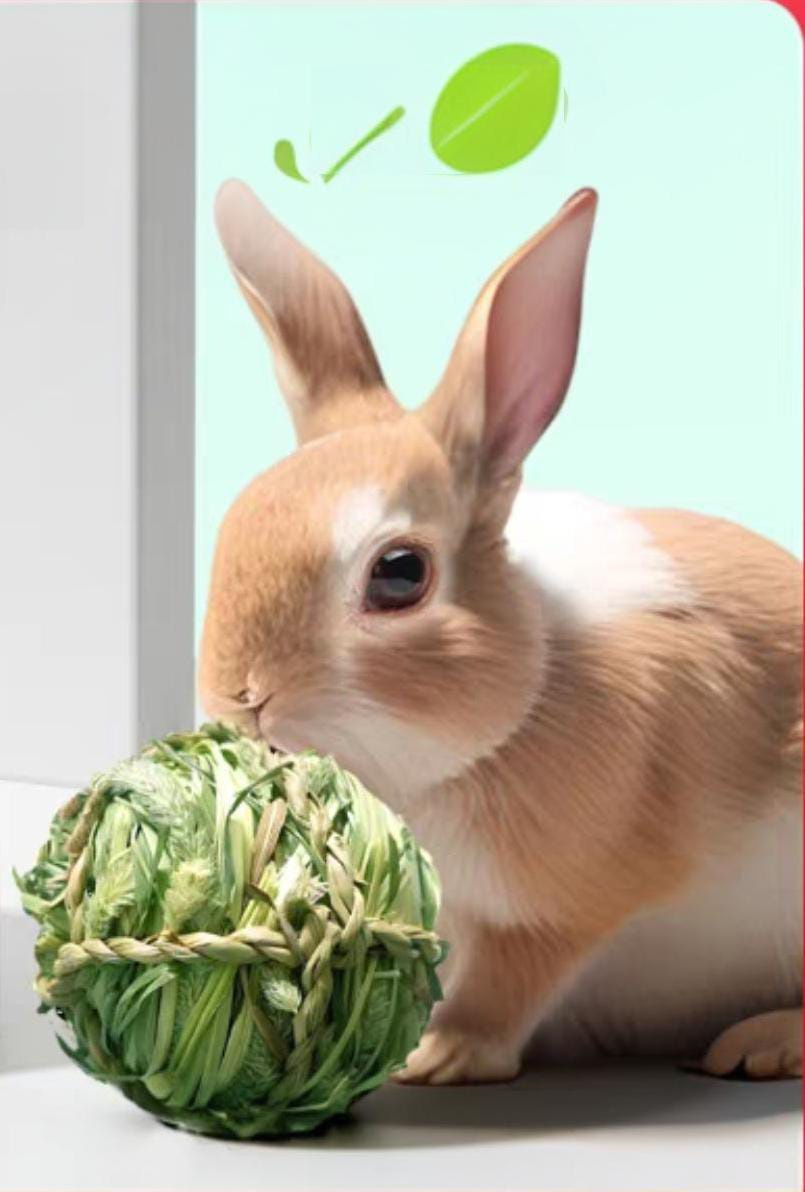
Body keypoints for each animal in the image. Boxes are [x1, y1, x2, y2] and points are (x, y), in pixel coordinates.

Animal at [200, 179, 803, 1085]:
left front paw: (438, 1053)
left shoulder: (563, 904)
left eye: (399, 574)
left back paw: (760, 1045)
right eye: (233, 522)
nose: (242, 698)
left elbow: (511, 981)